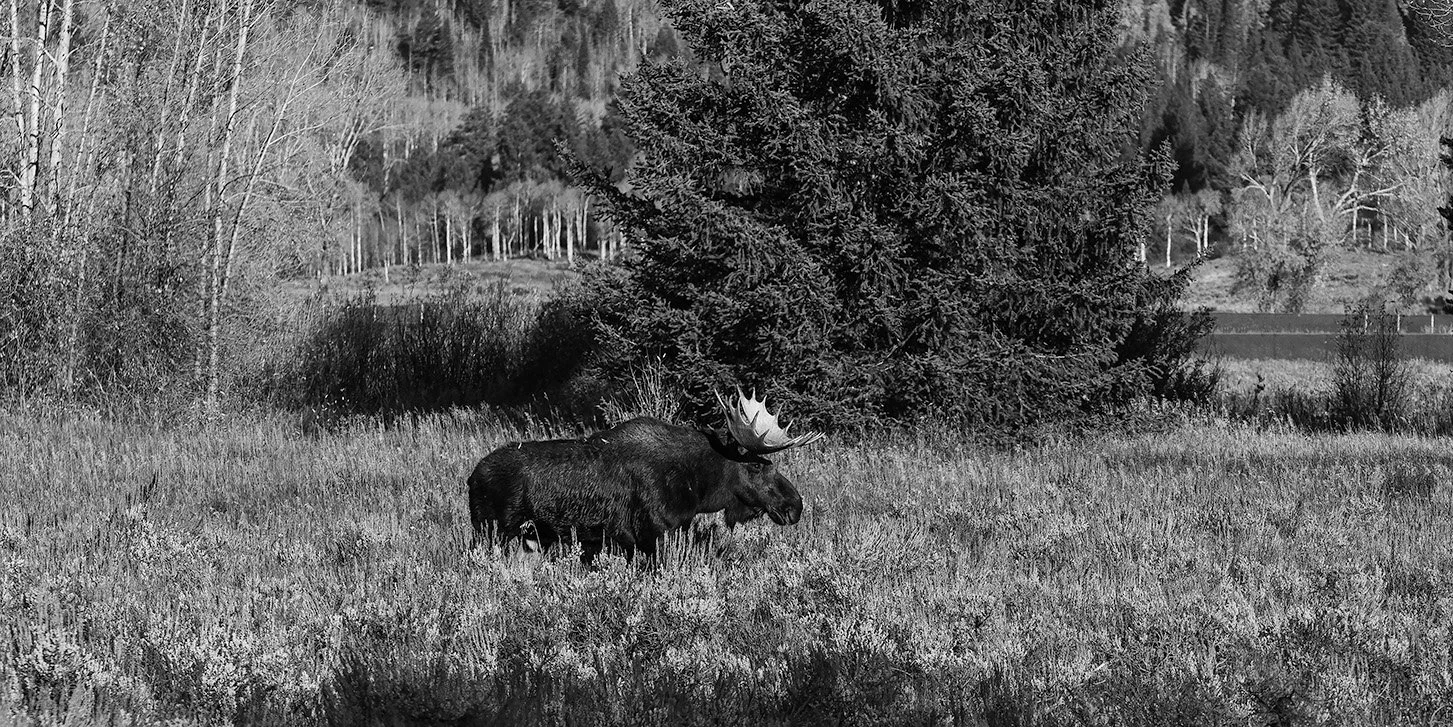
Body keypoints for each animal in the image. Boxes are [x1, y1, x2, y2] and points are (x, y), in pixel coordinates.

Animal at [466, 389, 824, 564]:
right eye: (758, 466)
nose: (795, 505)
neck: (698, 486)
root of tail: (471, 479)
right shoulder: (653, 535)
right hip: (494, 532)